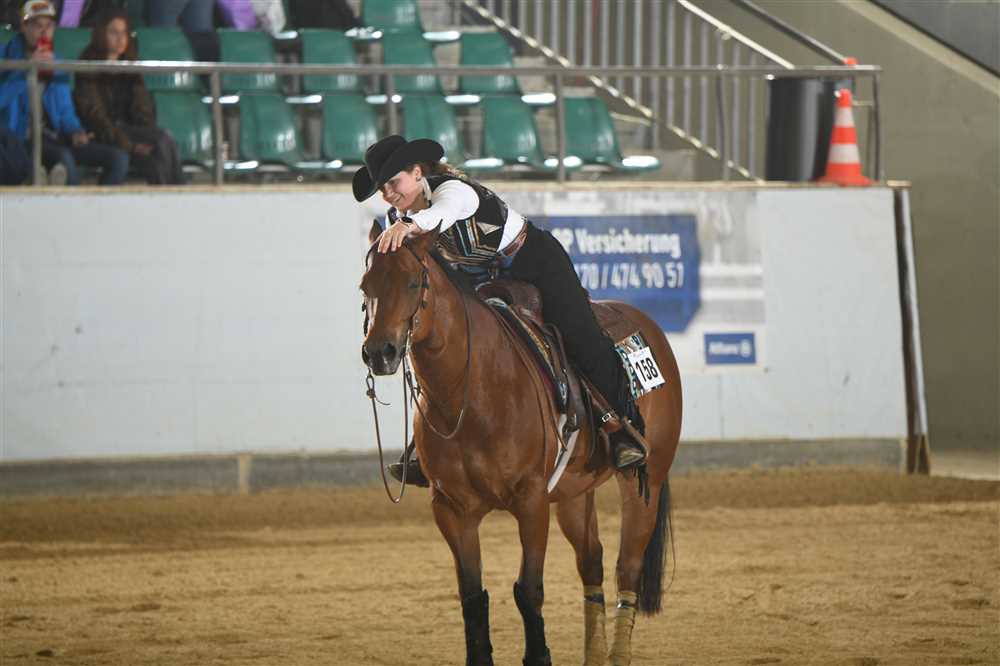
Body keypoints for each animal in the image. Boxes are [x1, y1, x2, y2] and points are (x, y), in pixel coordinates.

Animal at [360, 222, 682, 666]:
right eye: (364, 286)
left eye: (412, 282)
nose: (379, 352)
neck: (474, 389)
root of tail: (648, 327)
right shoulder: (451, 509)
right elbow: (472, 596)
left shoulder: (531, 501)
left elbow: (529, 591)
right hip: (574, 494)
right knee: (592, 563)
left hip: (644, 482)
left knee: (627, 568)